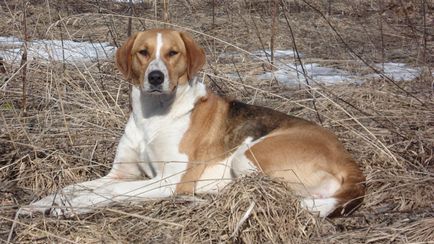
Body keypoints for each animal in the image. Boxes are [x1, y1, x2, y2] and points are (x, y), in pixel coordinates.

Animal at [21, 28, 366, 217]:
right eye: (143, 52)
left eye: (173, 53)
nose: (155, 77)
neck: (154, 116)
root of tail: (352, 164)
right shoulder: (121, 172)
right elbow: (71, 186)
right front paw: (42, 203)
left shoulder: (168, 180)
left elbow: (110, 192)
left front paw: (72, 206)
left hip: (247, 157)